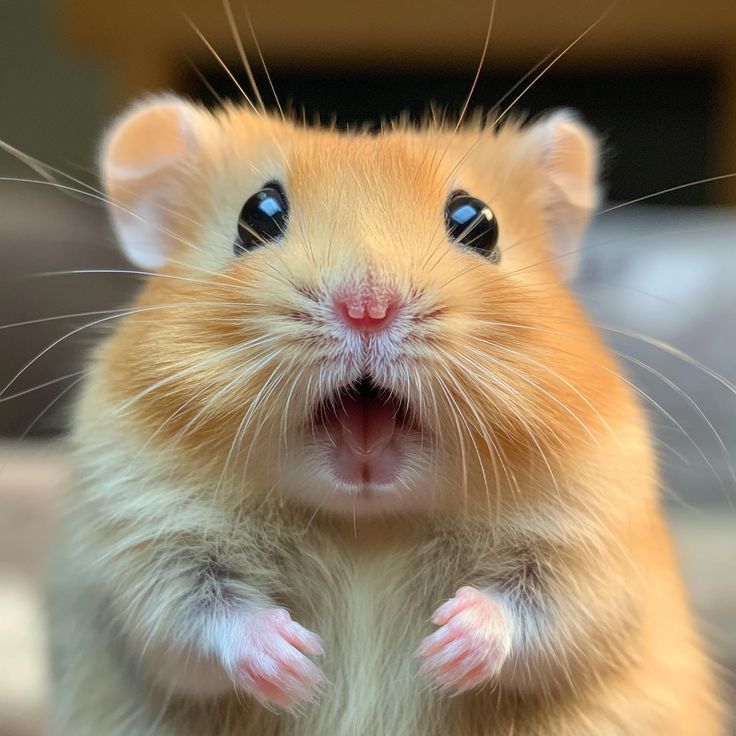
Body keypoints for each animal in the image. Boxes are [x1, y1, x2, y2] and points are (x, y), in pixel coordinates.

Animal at [47, 94, 723, 736]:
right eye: (257, 214)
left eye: (477, 222)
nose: (367, 307)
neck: (368, 523)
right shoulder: (141, 544)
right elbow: (197, 620)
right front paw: (298, 662)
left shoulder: (593, 547)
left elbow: (541, 615)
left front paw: (443, 647)